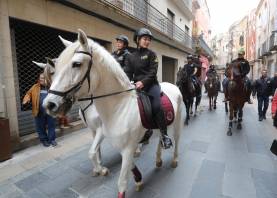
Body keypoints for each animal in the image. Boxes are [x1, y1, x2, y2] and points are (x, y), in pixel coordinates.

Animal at [42, 29, 183, 198]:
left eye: (76, 64)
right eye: (55, 69)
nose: (49, 104)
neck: (119, 107)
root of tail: (172, 85)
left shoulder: (124, 146)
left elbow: (121, 182)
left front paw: (104, 170)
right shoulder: (120, 145)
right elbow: (119, 162)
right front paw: (136, 178)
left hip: (177, 123)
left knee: (176, 140)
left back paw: (174, 160)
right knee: (161, 138)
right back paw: (158, 159)